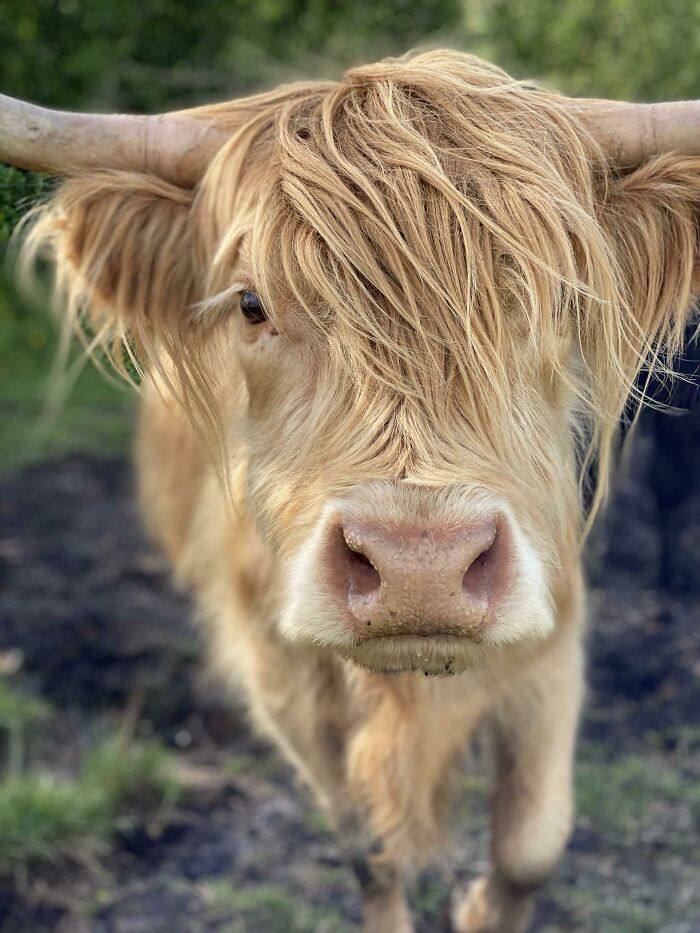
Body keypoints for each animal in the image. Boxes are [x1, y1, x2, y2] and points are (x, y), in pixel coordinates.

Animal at [2, 50, 699, 933]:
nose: (419, 571)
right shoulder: (283, 681)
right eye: (251, 302)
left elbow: (529, 846)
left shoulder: (550, 646)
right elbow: (368, 845)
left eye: (562, 297)